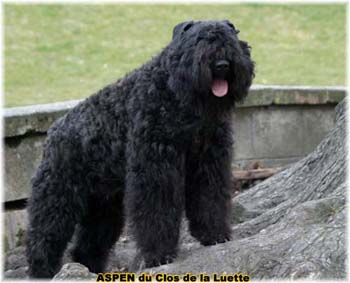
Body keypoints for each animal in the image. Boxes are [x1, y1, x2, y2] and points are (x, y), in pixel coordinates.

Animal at [25, 20, 254, 280]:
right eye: (199, 40)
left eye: (231, 40)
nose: (222, 64)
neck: (175, 92)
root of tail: (54, 130)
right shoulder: (155, 167)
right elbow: (157, 209)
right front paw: (159, 254)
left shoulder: (208, 161)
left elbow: (210, 197)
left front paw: (214, 235)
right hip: (57, 197)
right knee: (43, 238)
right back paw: (43, 271)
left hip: (104, 207)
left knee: (89, 245)